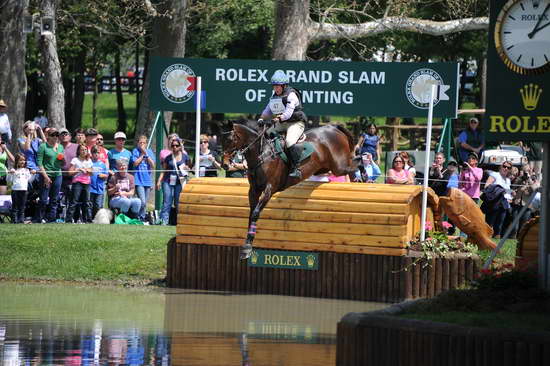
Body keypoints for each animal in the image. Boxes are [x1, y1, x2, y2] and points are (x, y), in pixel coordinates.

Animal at [222, 118, 360, 258]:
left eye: (230, 139)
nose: (225, 165)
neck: (261, 154)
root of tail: (333, 127)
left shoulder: (269, 189)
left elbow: (255, 213)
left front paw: (248, 247)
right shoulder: (254, 190)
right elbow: (251, 215)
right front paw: (247, 244)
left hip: (339, 167)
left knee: (355, 164)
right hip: (324, 168)